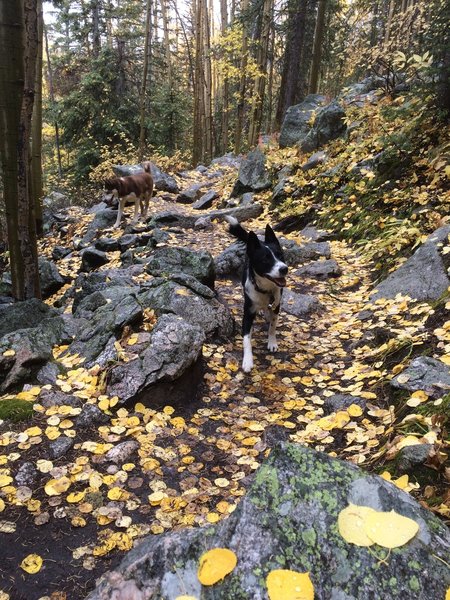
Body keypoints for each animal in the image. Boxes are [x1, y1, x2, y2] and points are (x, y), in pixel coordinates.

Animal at [225, 218, 288, 370]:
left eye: (281, 255)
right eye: (265, 259)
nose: (284, 269)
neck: (265, 289)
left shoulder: (277, 303)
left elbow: (272, 326)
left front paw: (272, 342)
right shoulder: (248, 312)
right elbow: (246, 339)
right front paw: (248, 361)